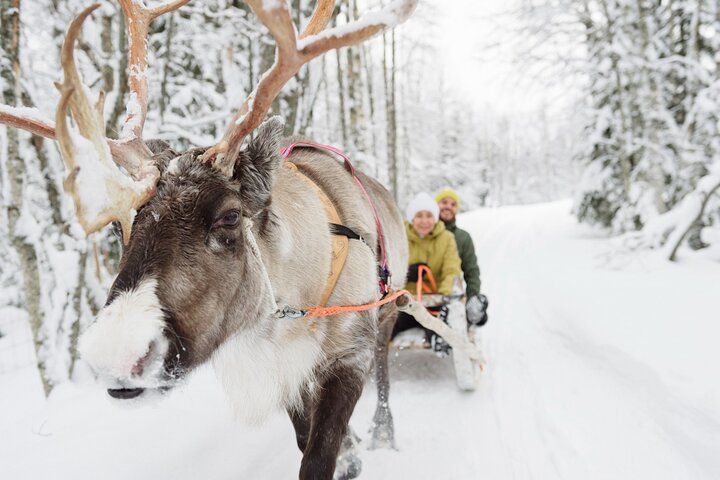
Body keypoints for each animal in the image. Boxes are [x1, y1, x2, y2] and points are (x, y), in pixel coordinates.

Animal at [0, 1, 418, 478]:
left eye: (230, 216)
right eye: (117, 227)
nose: (118, 355)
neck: (295, 304)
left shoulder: (350, 351)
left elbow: (318, 454)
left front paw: (349, 453)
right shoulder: (283, 370)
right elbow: (303, 434)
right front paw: (351, 450)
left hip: (389, 311)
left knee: (384, 370)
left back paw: (383, 429)